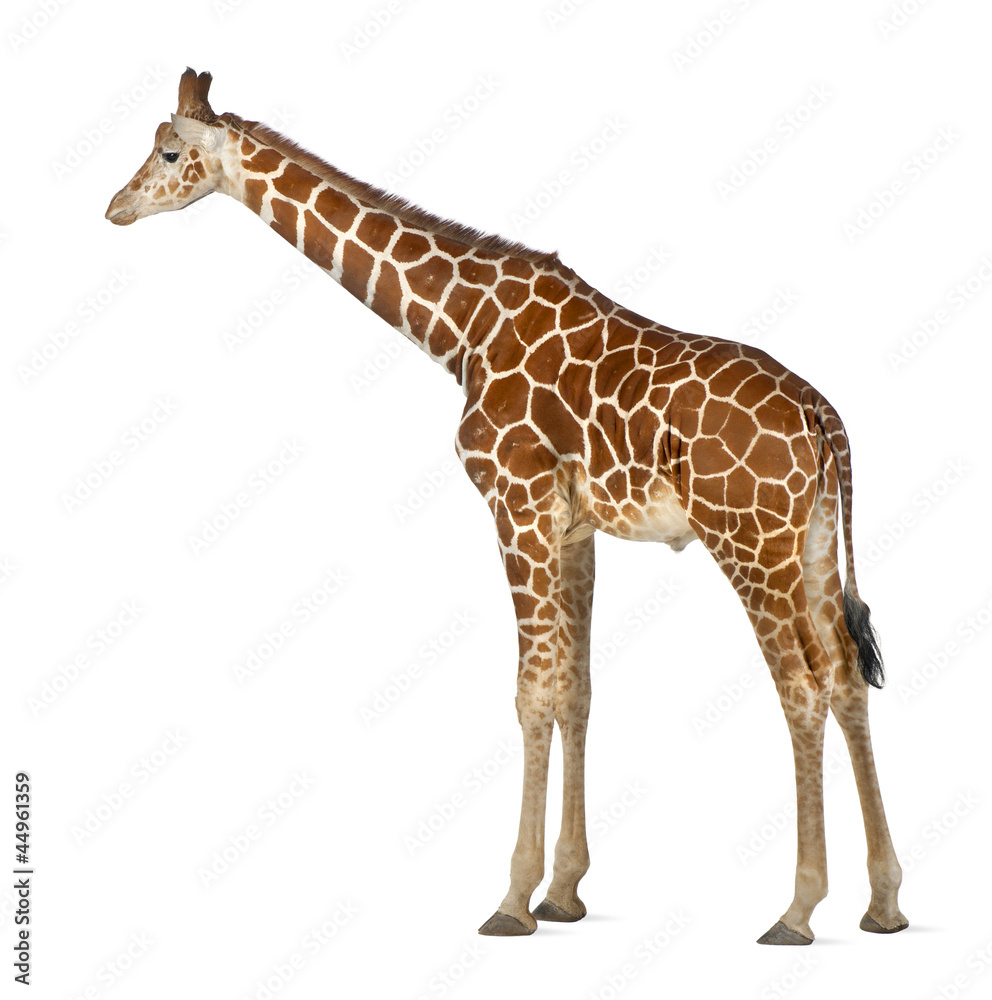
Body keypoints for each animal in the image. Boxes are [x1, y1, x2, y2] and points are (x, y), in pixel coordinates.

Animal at [106, 69, 908, 945]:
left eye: (169, 151)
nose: (115, 207)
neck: (457, 326)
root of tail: (824, 420)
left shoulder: (513, 502)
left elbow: (533, 693)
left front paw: (511, 900)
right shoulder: (573, 528)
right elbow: (577, 690)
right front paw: (564, 892)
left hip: (750, 539)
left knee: (800, 685)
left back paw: (797, 909)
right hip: (814, 540)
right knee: (846, 676)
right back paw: (884, 903)